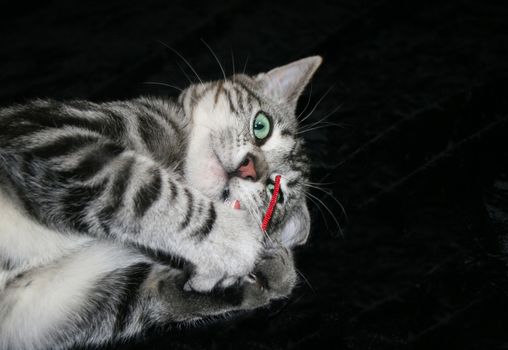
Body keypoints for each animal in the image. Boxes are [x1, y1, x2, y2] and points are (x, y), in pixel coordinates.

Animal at [0, 54, 322, 348]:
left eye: (276, 194)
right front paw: (237, 240)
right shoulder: (50, 135)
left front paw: (267, 272)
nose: (251, 168)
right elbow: (141, 186)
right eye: (261, 126)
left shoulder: (48, 306)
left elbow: (146, 292)